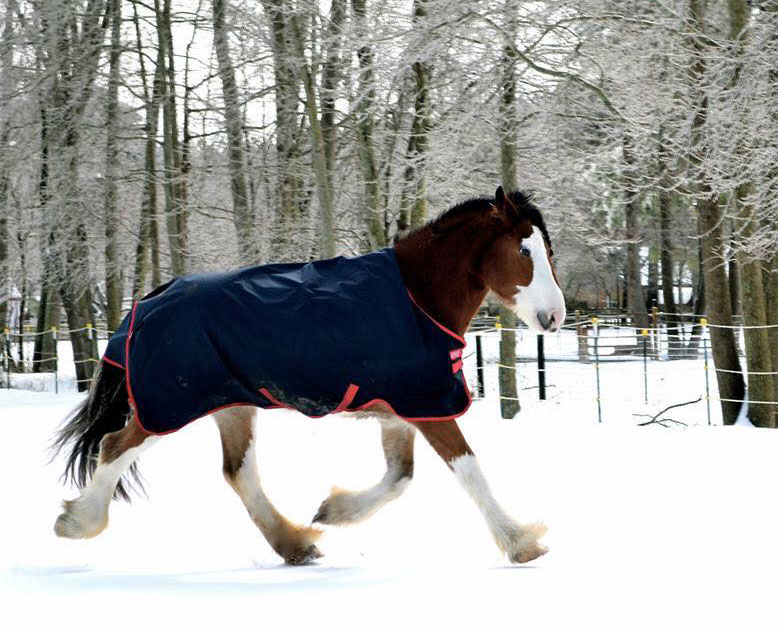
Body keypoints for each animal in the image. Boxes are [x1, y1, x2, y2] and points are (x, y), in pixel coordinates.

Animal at [53, 186, 564, 568]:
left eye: (548, 249)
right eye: (524, 249)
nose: (554, 317)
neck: (417, 299)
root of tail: (149, 301)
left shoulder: (401, 411)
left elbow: (400, 477)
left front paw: (333, 511)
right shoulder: (429, 406)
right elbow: (469, 471)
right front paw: (521, 542)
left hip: (231, 405)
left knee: (238, 472)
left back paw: (296, 545)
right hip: (172, 403)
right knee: (113, 448)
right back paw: (77, 523)